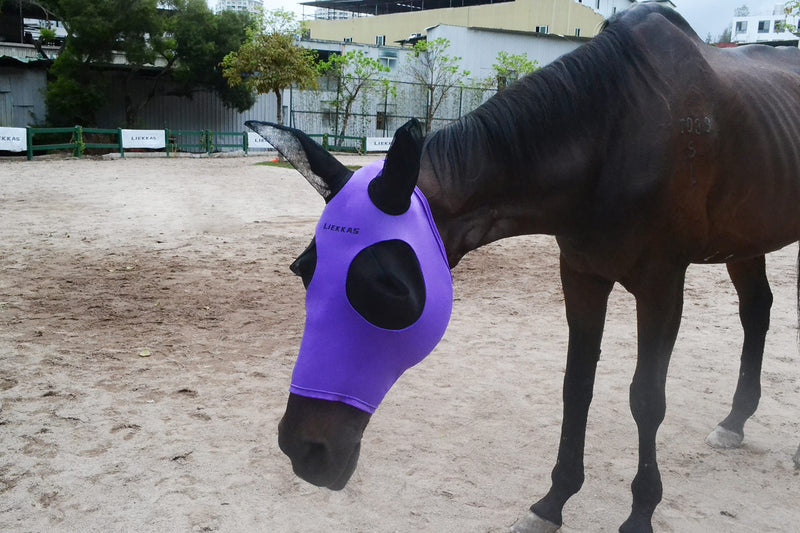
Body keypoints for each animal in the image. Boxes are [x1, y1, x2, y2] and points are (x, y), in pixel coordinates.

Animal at [249, 3, 800, 532]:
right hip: (745, 242)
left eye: (391, 290)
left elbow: (646, 398)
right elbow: (576, 387)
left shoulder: (661, 285)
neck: (615, 131)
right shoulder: (582, 275)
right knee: (757, 310)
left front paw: (640, 513)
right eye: (303, 270)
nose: (302, 450)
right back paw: (735, 420)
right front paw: (553, 502)